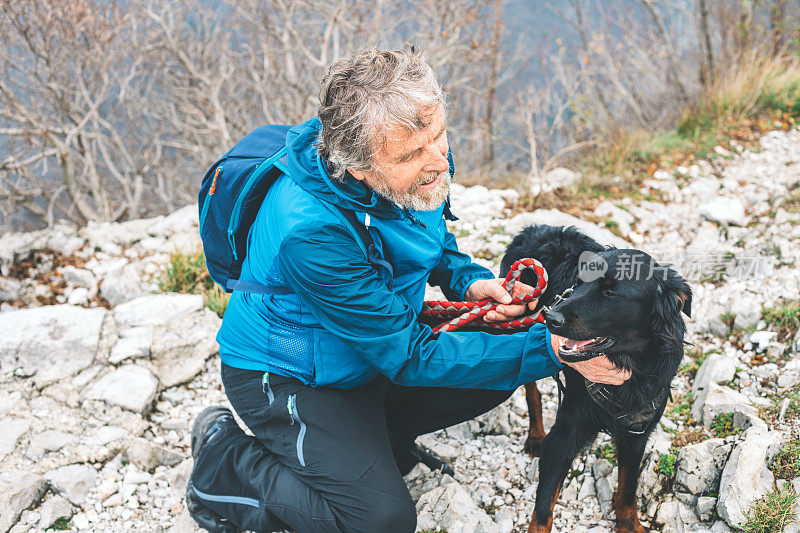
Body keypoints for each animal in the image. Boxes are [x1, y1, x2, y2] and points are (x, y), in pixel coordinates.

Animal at [504, 224, 692, 532]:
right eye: (579, 283)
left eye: (610, 292)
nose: (551, 318)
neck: (628, 366)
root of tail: (536, 228)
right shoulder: (564, 433)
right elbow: (542, 511)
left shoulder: (636, 433)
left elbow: (627, 489)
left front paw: (629, 525)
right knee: (529, 384)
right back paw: (535, 435)